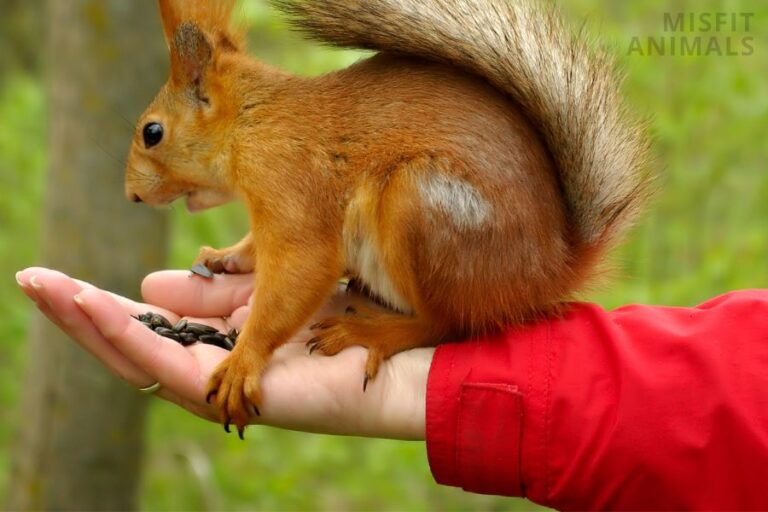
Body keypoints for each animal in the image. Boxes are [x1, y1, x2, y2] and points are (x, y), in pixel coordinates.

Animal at [125, 0, 651, 437]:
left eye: (153, 133)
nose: (131, 195)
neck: (251, 122)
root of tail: (548, 271)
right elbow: (256, 247)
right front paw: (225, 257)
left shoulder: (289, 182)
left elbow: (300, 268)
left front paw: (242, 363)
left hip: (418, 205)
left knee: (446, 325)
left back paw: (370, 331)